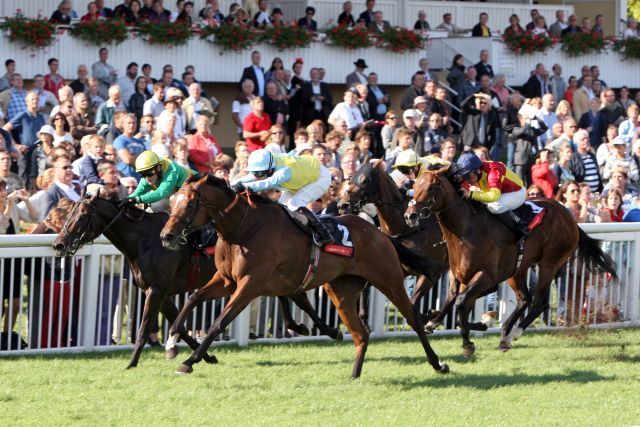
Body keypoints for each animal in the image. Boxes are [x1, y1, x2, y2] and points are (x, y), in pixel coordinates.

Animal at [52, 191, 340, 368]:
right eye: (68, 214)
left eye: (81, 216)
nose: (58, 244)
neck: (144, 239)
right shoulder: (162, 292)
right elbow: (177, 323)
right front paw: (205, 355)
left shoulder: (156, 289)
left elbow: (146, 328)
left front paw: (132, 362)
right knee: (295, 295)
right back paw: (309, 327)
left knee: (299, 297)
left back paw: (325, 329)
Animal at [338, 160, 448, 324]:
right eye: (350, 179)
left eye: (366, 180)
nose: (342, 205)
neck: (405, 228)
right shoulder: (394, 268)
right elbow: (366, 287)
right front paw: (363, 318)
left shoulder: (432, 273)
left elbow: (413, 304)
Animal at [402, 167, 616, 358]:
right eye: (414, 185)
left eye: (431, 187)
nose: (410, 215)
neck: (465, 231)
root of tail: (570, 218)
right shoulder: (458, 274)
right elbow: (454, 299)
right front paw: (434, 321)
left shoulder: (486, 276)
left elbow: (462, 302)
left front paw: (472, 337)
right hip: (517, 269)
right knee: (524, 299)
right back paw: (505, 335)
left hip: (549, 263)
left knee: (539, 302)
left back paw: (513, 333)